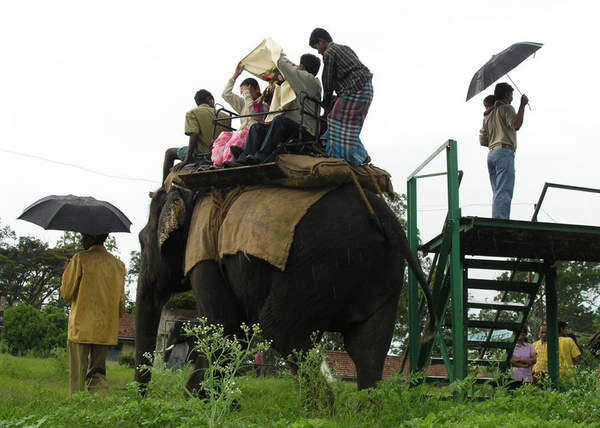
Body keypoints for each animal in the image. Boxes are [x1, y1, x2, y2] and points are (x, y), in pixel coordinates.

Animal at [137, 184, 434, 392]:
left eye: (141, 240)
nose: (142, 395)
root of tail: (384, 218)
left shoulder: (204, 250)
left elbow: (223, 325)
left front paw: (197, 399)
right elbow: (233, 332)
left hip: (316, 264)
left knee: (281, 332)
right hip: (382, 272)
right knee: (368, 346)